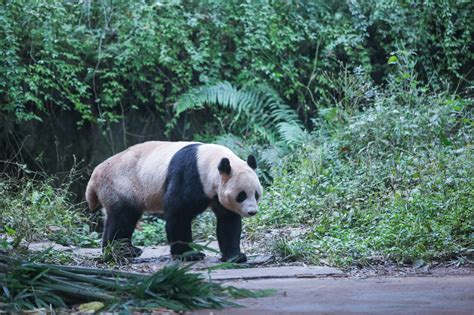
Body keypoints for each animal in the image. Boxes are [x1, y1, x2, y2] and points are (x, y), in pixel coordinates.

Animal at [85, 142, 262, 262]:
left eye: (256, 194)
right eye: (241, 195)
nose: (252, 212)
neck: (211, 161)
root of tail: (95, 175)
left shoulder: (216, 192)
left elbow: (228, 221)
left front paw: (235, 256)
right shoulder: (190, 175)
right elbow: (179, 214)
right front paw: (189, 254)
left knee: (113, 218)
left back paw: (114, 250)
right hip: (122, 184)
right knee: (124, 218)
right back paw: (124, 250)